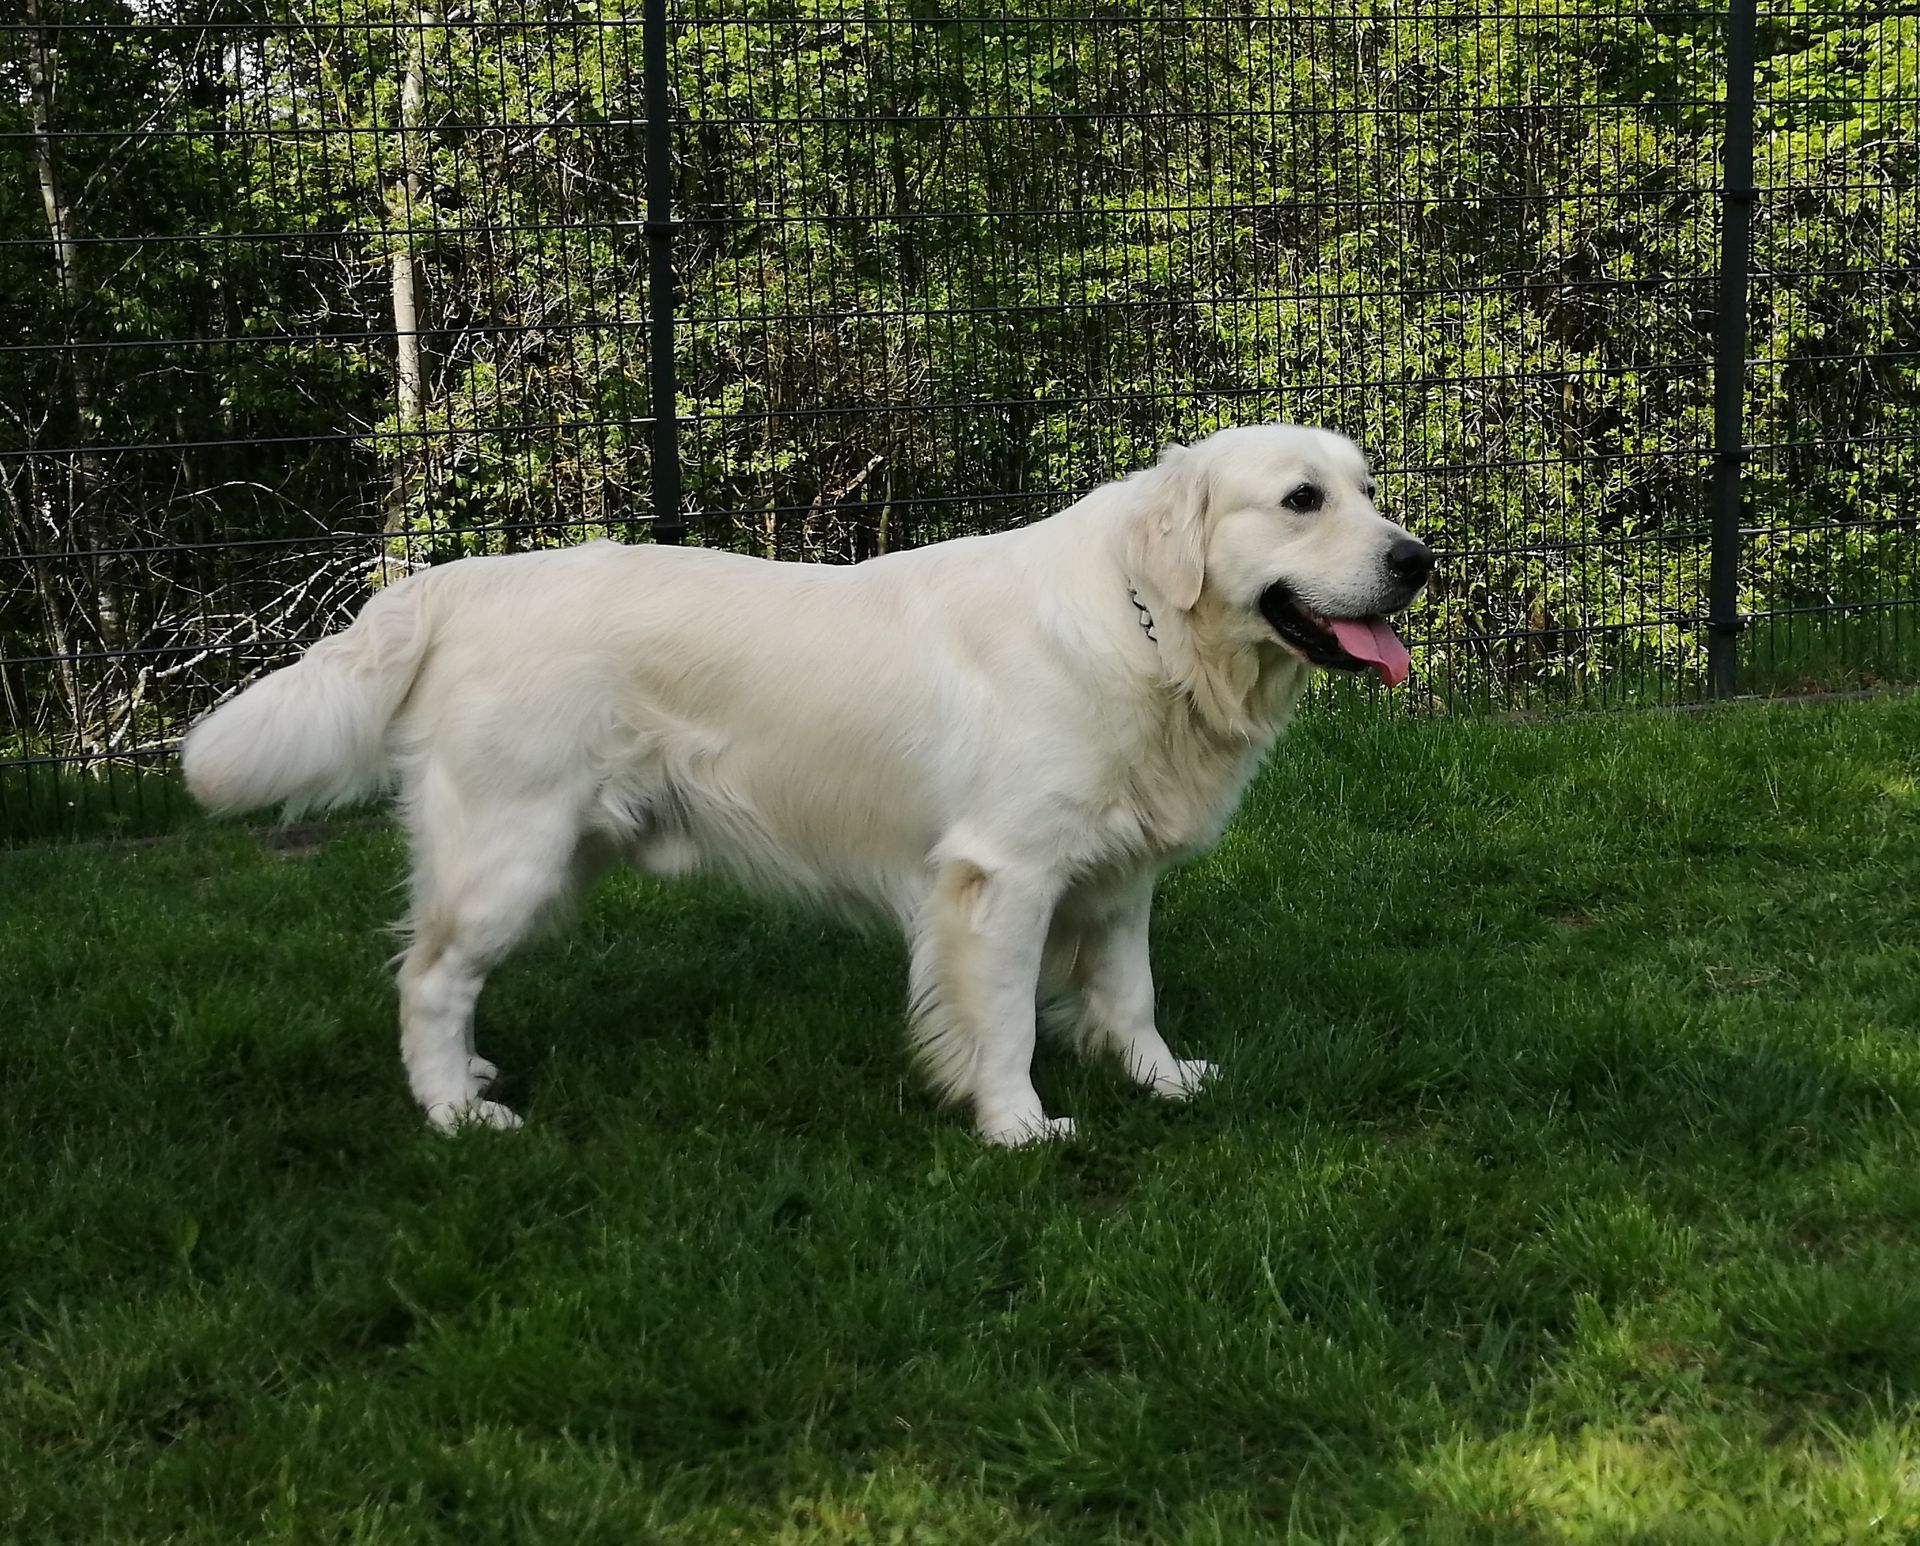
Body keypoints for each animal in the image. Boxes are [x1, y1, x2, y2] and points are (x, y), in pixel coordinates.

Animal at [182, 424, 1432, 1143]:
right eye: (1302, 499)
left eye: (1370, 489)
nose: (1420, 558)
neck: (1149, 629)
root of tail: (462, 579)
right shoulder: (1004, 876)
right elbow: (1005, 1021)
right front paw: (1018, 1126)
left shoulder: (1118, 880)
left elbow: (1131, 996)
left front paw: (1163, 1083)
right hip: (514, 849)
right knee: (430, 977)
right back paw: (456, 1108)